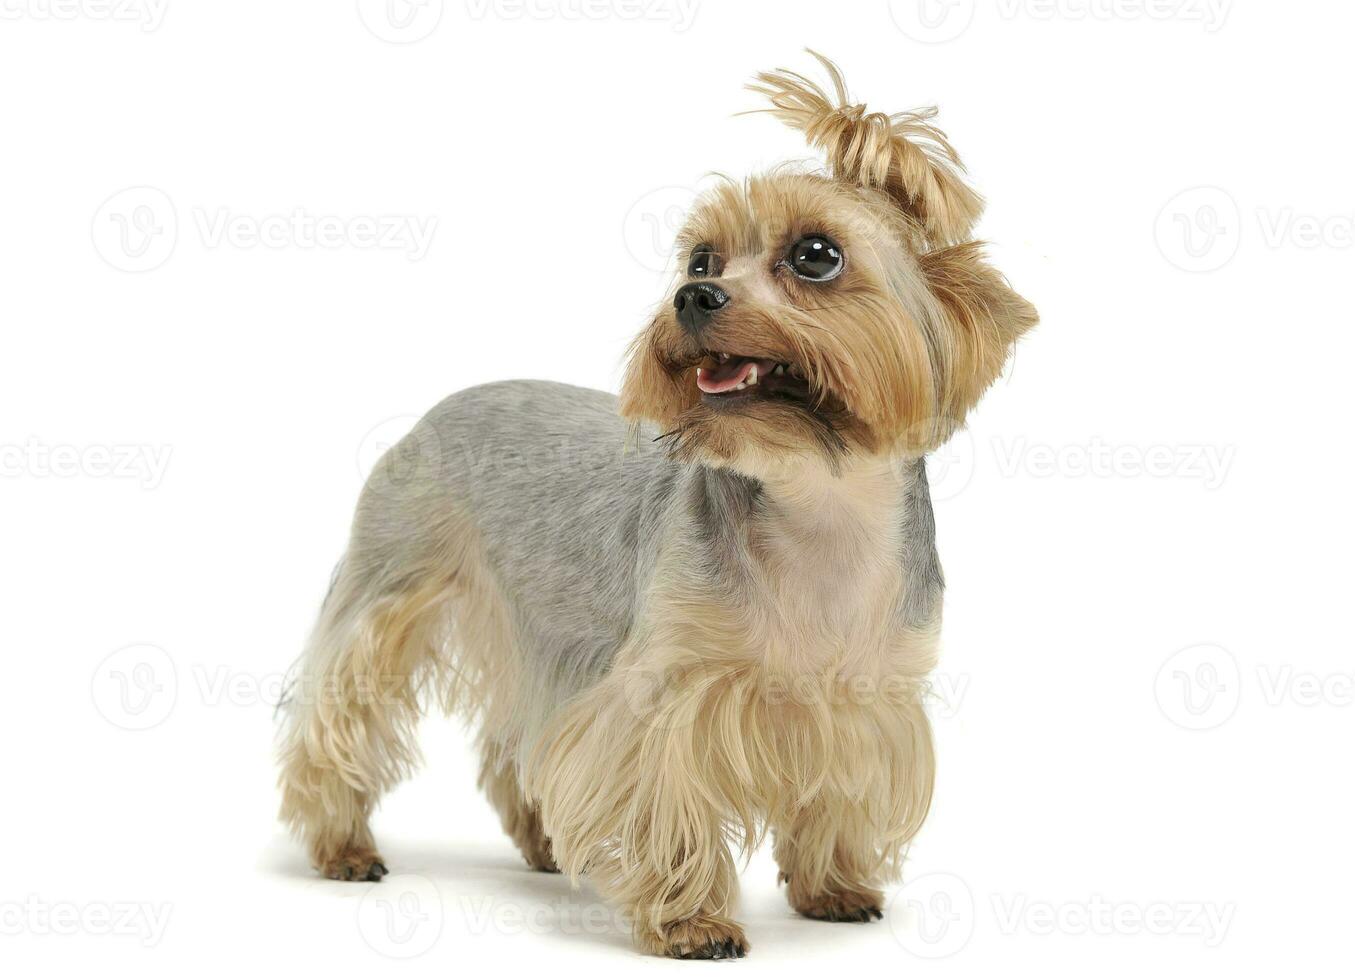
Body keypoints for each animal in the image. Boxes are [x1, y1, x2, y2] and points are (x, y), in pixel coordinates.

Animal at [277, 51, 1035, 959]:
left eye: (816, 255)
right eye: (702, 259)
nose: (690, 299)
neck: (814, 501)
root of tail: (442, 405)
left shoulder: (866, 695)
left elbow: (837, 792)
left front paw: (832, 888)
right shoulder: (666, 689)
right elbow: (664, 798)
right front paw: (693, 921)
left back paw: (541, 842)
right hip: (394, 581)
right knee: (341, 710)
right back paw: (343, 846)